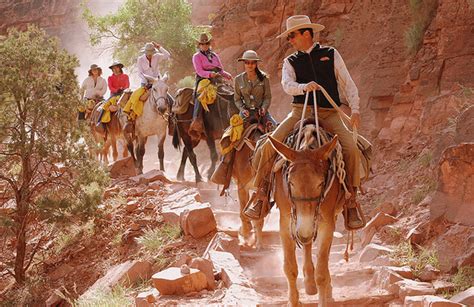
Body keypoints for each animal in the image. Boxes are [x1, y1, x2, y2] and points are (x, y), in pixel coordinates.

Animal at [268, 125, 342, 307]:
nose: (304, 229)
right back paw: (309, 282)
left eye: (321, 183)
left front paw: (324, 296)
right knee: (307, 243)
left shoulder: (326, 223)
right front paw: (293, 301)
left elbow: (322, 272)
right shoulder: (286, 222)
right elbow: (290, 268)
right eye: (291, 182)